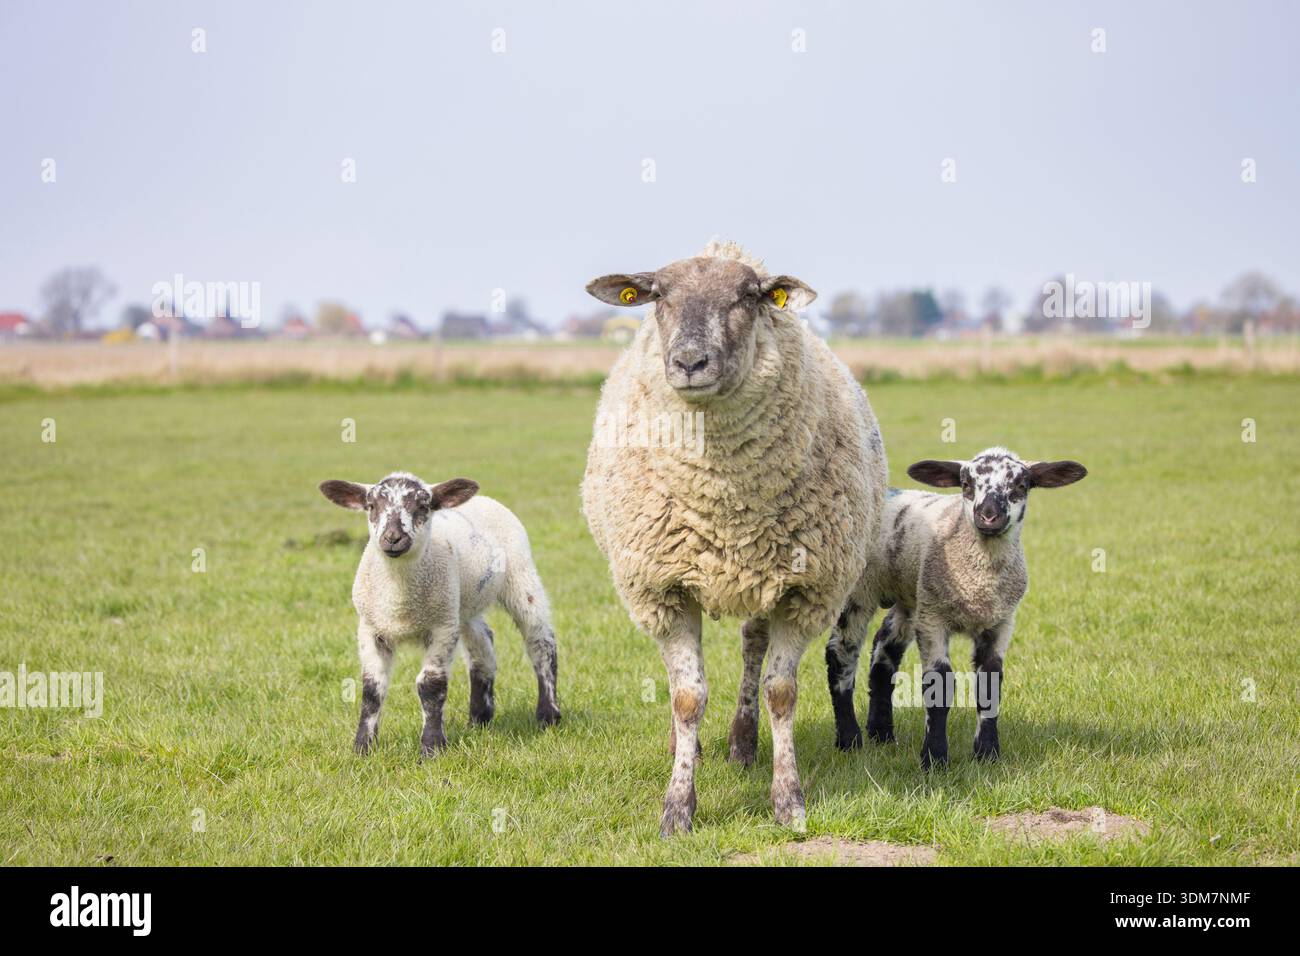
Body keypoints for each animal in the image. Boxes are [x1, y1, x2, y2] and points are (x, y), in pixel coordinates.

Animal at [318, 472, 559, 756]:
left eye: (423, 506)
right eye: (371, 506)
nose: (392, 538)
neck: (399, 601)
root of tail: (483, 499)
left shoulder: (442, 626)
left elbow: (431, 685)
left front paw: (432, 747)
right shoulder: (370, 628)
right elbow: (372, 689)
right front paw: (362, 748)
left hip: (521, 576)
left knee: (541, 642)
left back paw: (548, 715)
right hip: (462, 605)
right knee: (482, 647)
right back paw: (479, 718)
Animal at [581, 240, 888, 834]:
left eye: (748, 297)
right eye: (658, 296)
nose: (689, 362)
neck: (721, 500)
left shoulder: (805, 591)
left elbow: (781, 692)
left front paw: (788, 801)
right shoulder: (663, 588)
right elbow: (686, 697)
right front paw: (677, 808)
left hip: (764, 573)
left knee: (752, 646)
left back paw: (743, 744)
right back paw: (693, 747)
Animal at [825, 447, 1087, 769]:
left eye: (1020, 485)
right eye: (966, 485)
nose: (988, 515)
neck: (980, 580)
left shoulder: (999, 622)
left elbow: (990, 684)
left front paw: (987, 753)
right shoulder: (934, 619)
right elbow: (939, 683)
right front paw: (934, 758)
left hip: (911, 595)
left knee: (884, 652)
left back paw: (882, 734)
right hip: (860, 590)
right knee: (841, 654)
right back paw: (849, 739)